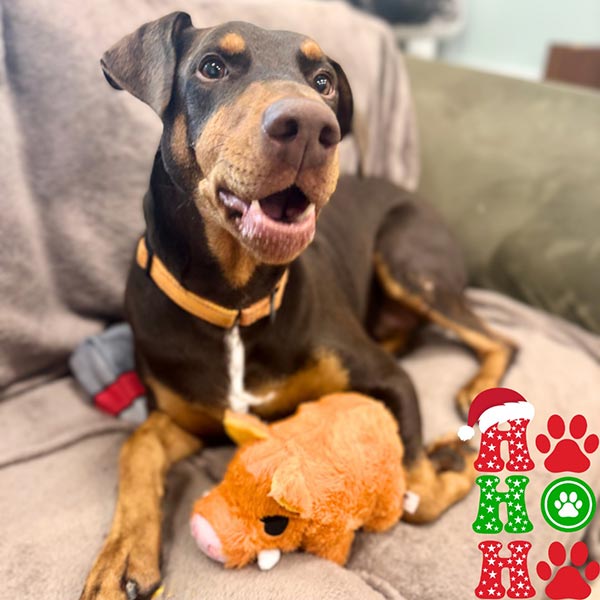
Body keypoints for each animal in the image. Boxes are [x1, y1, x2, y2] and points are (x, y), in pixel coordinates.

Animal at [81, 12, 516, 600]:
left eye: (323, 81)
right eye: (211, 67)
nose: (312, 127)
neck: (237, 302)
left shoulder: (388, 376)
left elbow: (417, 496)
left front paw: (449, 460)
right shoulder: (183, 417)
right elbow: (138, 443)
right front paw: (123, 555)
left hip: (408, 259)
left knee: (499, 338)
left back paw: (476, 388)